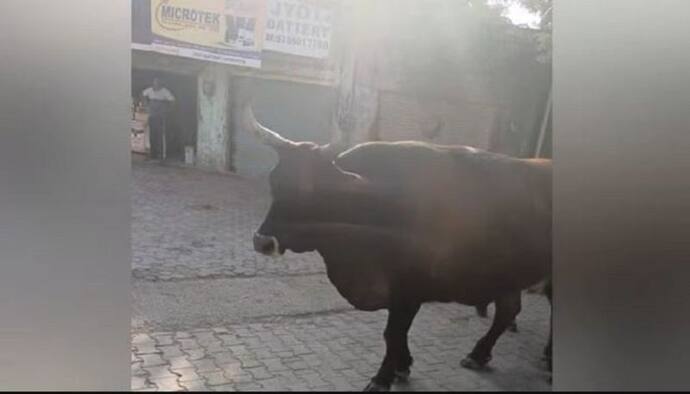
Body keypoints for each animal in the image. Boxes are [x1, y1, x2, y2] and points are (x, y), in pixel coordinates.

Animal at [245, 105, 552, 390]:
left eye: (313, 191)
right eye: (274, 182)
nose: (262, 241)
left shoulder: (409, 289)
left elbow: (393, 334)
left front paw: (382, 378)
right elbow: (394, 335)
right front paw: (402, 366)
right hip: (508, 273)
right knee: (508, 311)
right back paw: (479, 354)